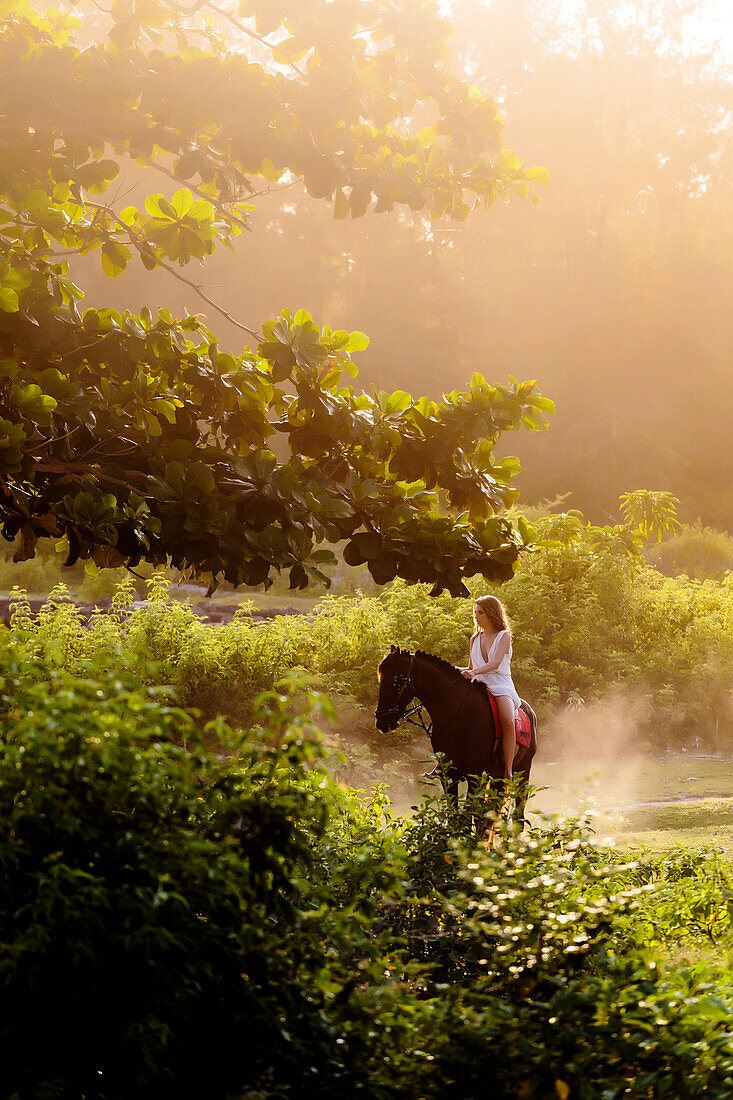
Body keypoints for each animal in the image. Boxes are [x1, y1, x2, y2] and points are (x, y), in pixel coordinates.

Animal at [376, 642, 537, 827]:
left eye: (395, 680)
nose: (381, 721)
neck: (459, 714)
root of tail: (529, 710)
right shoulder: (449, 776)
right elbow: (456, 818)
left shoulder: (475, 776)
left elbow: (467, 818)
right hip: (496, 777)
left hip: (522, 772)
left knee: (517, 816)